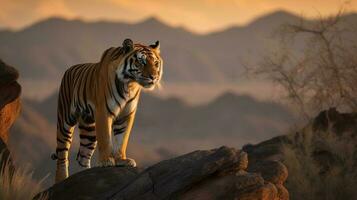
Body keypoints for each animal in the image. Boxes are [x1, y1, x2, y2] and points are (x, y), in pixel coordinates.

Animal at [51, 38, 163, 183]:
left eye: (155, 63)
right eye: (141, 61)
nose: (154, 77)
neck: (129, 84)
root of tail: (69, 69)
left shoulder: (126, 115)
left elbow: (122, 139)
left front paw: (122, 160)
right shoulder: (103, 112)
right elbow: (105, 138)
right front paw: (106, 161)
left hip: (89, 129)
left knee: (83, 156)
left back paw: (85, 175)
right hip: (65, 120)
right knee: (62, 155)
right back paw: (61, 179)